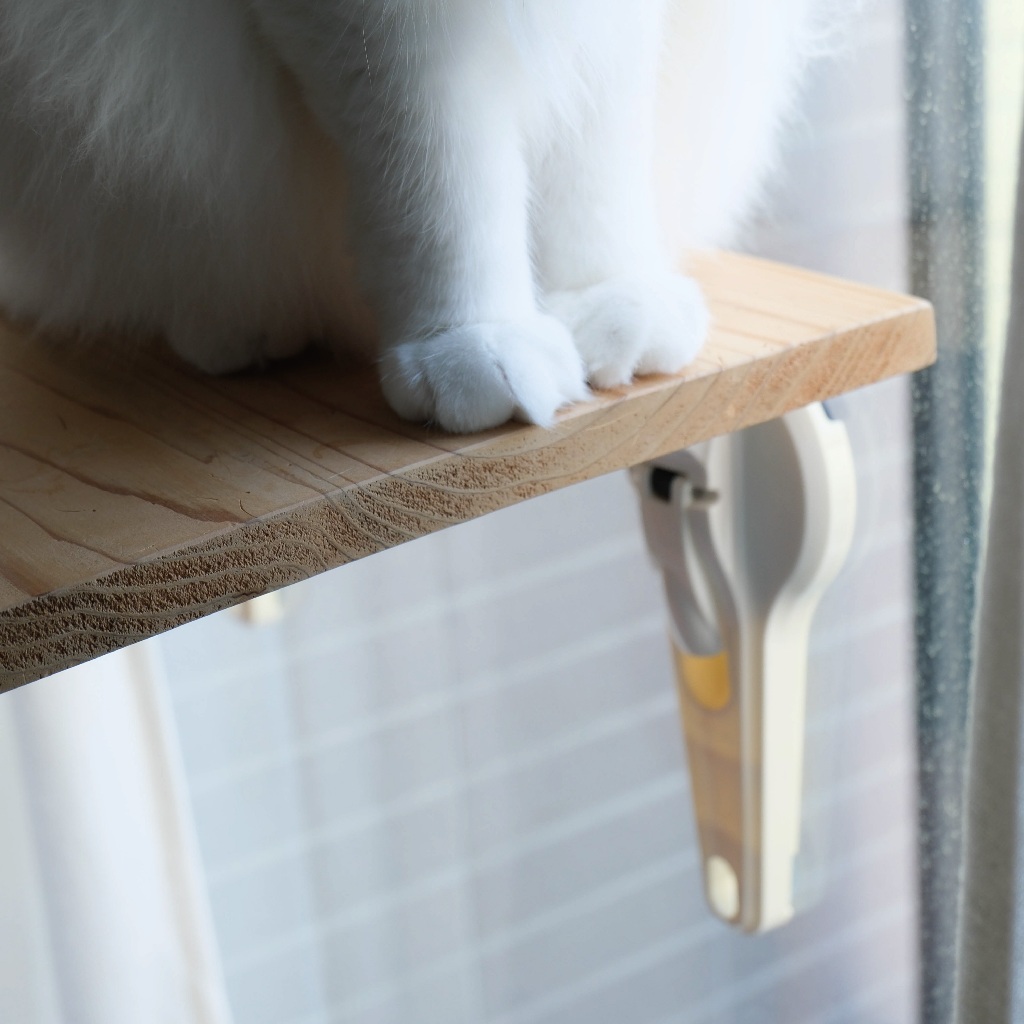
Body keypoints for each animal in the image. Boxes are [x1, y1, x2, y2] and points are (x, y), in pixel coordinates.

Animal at [0, 0, 825, 433]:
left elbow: (593, 156)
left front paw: (601, 296)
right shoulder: (383, 28)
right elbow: (437, 174)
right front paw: (473, 339)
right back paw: (243, 327)